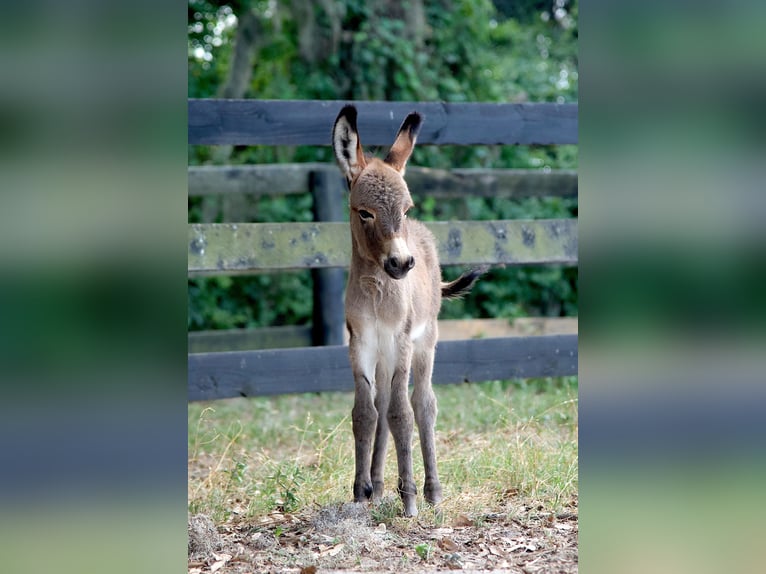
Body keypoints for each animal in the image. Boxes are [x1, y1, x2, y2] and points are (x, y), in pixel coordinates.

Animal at [332, 106, 480, 520]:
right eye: (364, 213)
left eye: (405, 208)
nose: (401, 263)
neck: (377, 290)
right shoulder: (361, 344)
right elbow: (365, 413)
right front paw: (360, 494)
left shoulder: (401, 342)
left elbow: (402, 414)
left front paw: (409, 497)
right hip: (384, 355)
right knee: (381, 404)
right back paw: (377, 485)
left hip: (424, 343)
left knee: (423, 405)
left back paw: (431, 491)